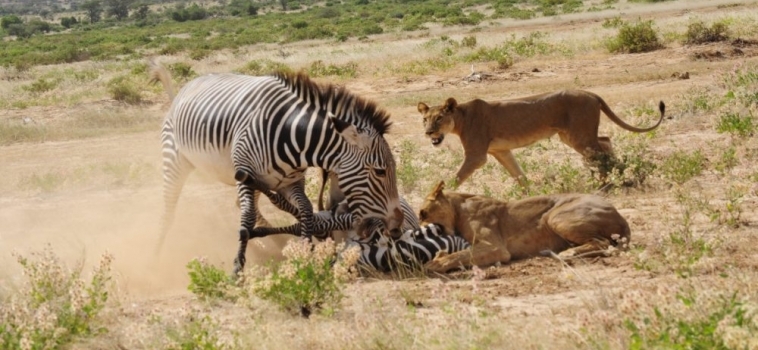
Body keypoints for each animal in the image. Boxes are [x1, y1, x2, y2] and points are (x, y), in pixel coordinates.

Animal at [151, 61, 406, 272]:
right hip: (175, 161)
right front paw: (237, 267)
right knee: (168, 211)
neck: (295, 137)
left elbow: (305, 211)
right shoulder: (245, 172)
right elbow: (246, 220)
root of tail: (185, 88)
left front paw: (306, 250)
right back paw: (155, 259)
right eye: (380, 171)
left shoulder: (290, 182)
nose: (397, 226)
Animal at [416, 91, 664, 189]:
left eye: (439, 118)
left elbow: (455, 178)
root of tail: (591, 93)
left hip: (579, 137)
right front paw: (528, 195)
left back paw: (606, 182)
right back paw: (614, 177)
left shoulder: (477, 156)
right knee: (605, 140)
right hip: (571, 136)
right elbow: (518, 174)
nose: (428, 133)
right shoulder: (501, 151)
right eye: (425, 119)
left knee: (601, 150)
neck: (460, 118)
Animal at [418, 182, 632, 272]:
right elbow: (458, 253)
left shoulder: (496, 248)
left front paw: (435, 264)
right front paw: (438, 257)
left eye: (422, 213)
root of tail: (622, 219)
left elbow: (459, 255)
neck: (458, 207)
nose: (417, 230)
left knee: (602, 242)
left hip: (555, 217)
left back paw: (567, 253)